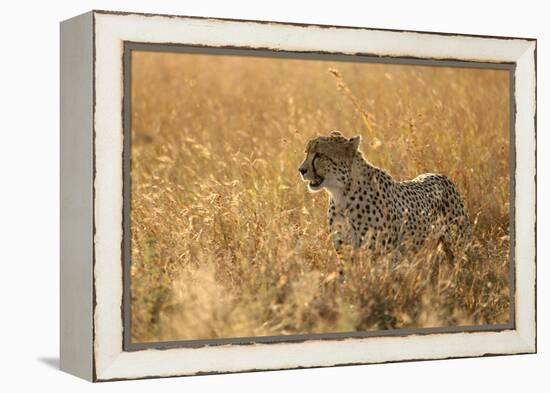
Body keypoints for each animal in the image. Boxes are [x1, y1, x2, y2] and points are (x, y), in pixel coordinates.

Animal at [300, 131, 472, 260]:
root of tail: (440, 175)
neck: (342, 193)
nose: (301, 170)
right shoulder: (345, 250)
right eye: (307, 153)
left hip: (458, 243)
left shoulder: (377, 252)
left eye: (319, 155)